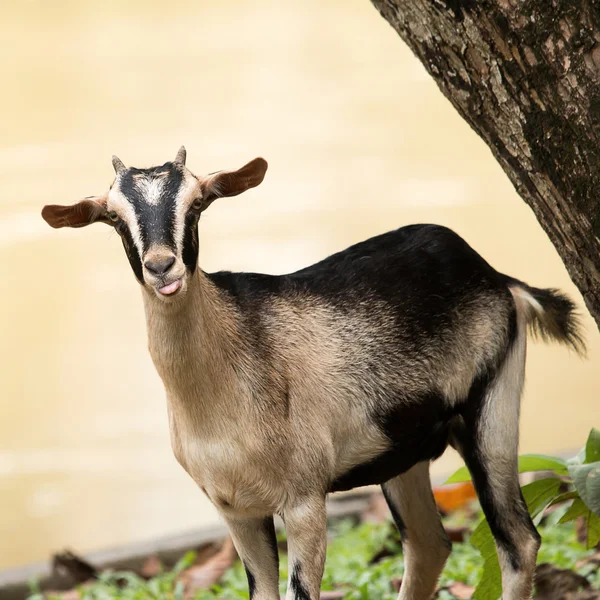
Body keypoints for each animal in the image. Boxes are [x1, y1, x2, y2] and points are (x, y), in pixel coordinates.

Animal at [43, 146, 584, 600]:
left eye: (197, 204)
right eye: (114, 218)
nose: (162, 267)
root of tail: (499, 278)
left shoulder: (303, 499)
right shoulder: (235, 509)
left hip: (491, 408)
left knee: (518, 541)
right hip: (401, 453)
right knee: (430, 545)